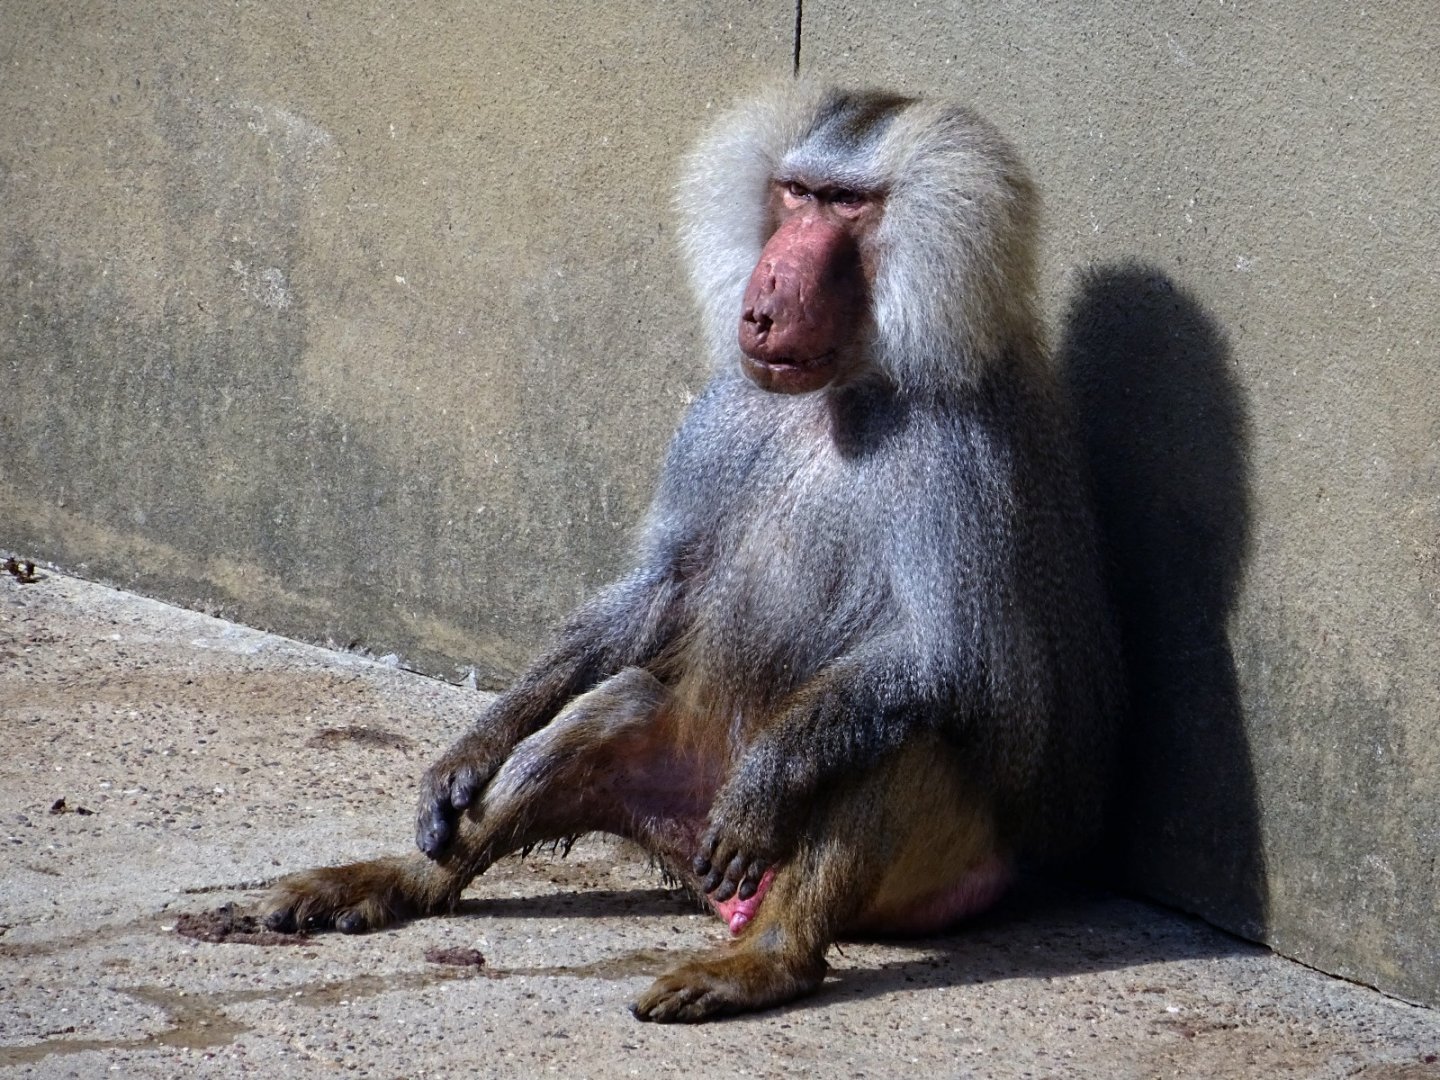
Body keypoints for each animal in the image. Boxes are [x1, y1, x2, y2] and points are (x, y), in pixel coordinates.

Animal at [264, 84, 1120, 1023]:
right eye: (795, 193)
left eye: (848, 205)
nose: (767, 293)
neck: (845, 386)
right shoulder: (721, 412)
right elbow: (667, 588)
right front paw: (473, 750)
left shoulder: (962, 455)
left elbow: (958, 662)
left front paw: (763, 788)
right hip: (685, 793)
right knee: (617, 706)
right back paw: (394, 881)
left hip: (921, 876)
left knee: (903, 736)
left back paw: (762, 962)